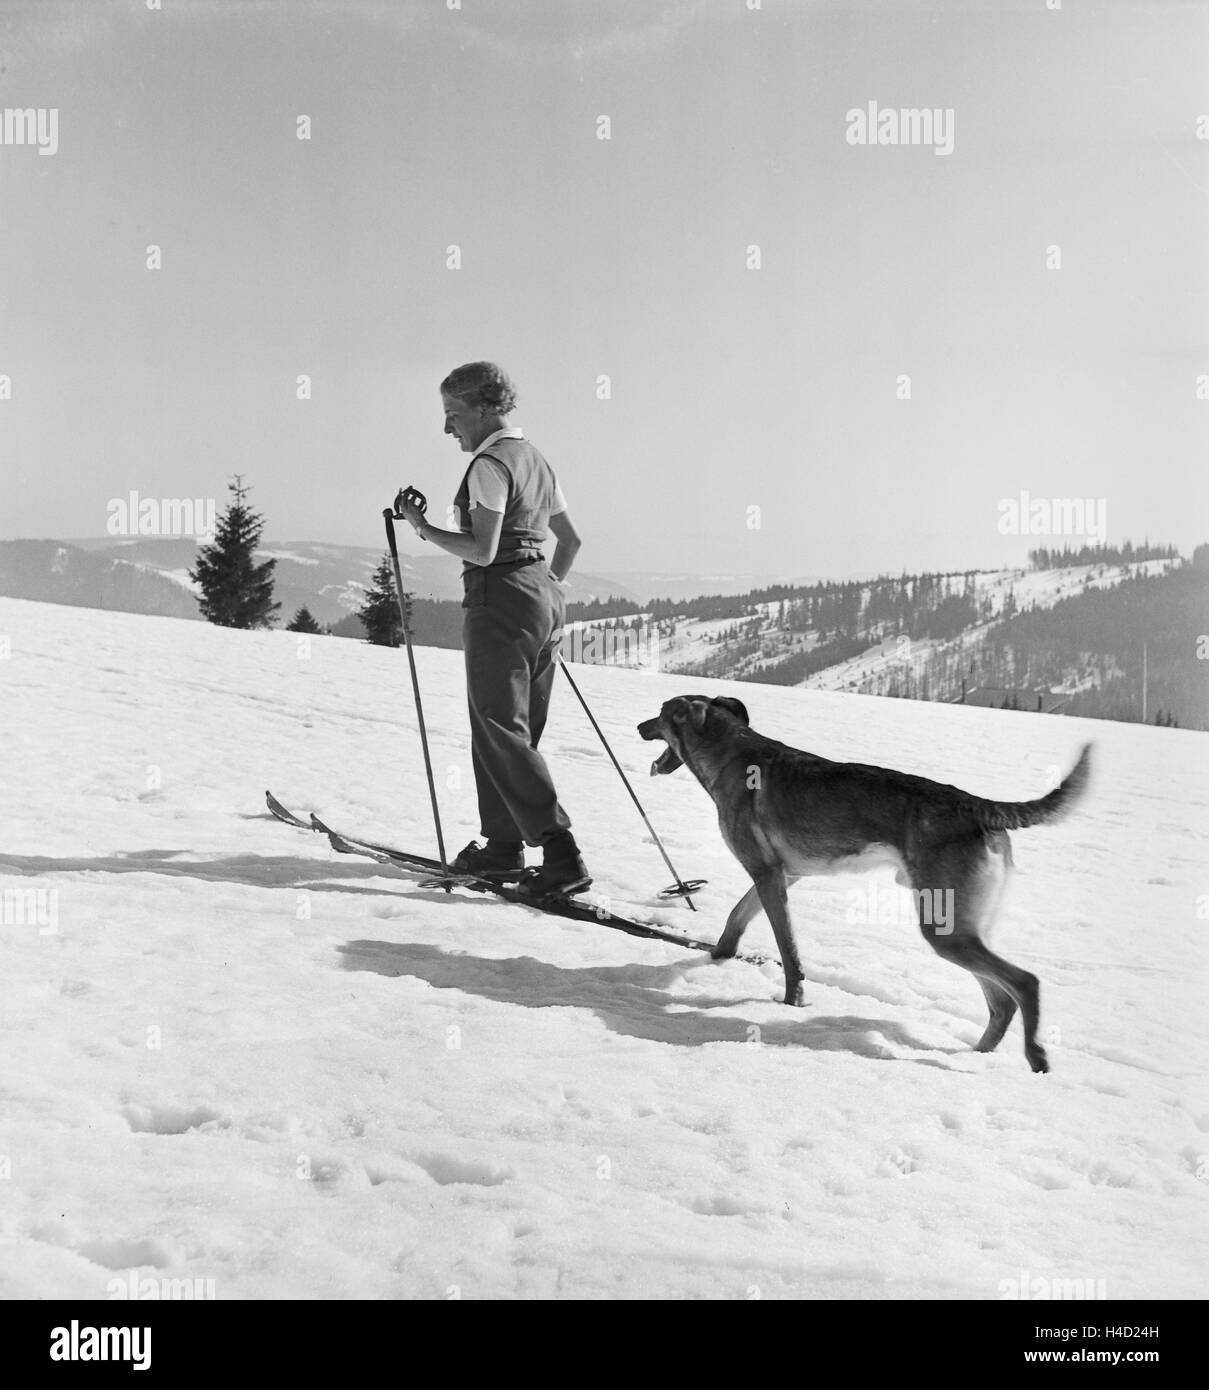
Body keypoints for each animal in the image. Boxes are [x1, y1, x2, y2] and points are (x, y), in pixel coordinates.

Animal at [639, 695, 1095, 1073]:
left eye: (660, 713)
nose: (639, 724)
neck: (728, 752)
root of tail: (976, 805)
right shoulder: (781, 874)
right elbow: (737, 917)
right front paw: (719, 957)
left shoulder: (768, 875)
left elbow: (789, 953)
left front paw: (791, 1004)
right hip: (959, 927)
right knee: (1000, 1000)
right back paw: (978, 1054)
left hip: (944, 929)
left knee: (1025, 983)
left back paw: (1035, 1056)